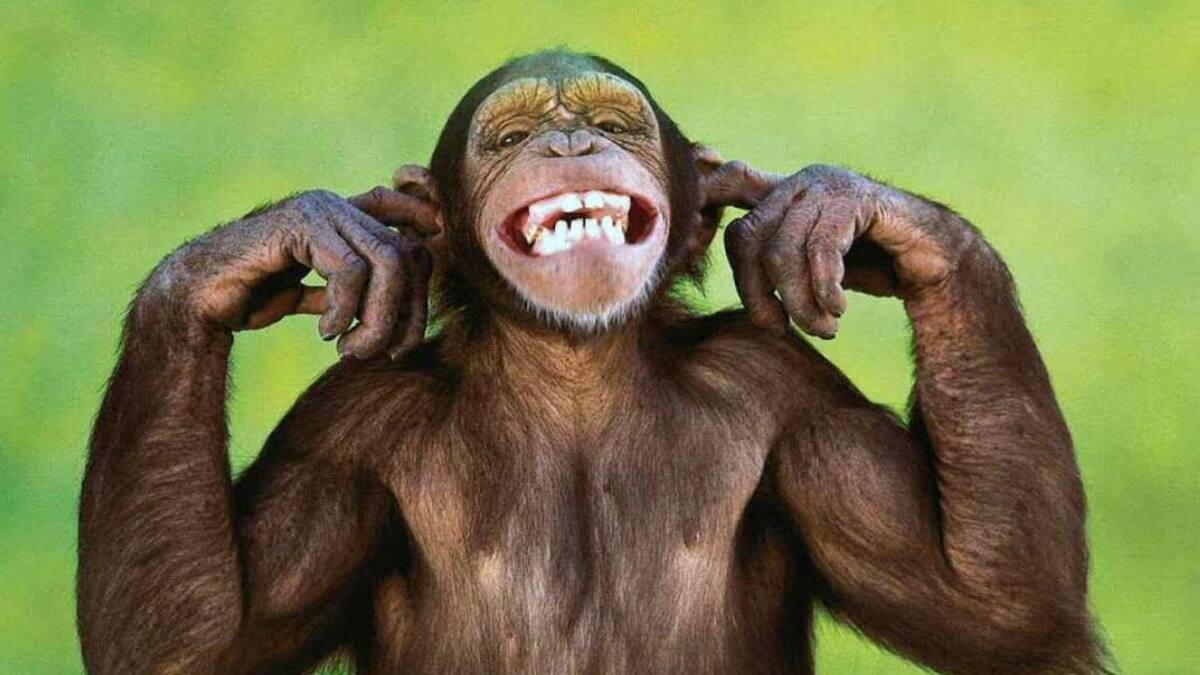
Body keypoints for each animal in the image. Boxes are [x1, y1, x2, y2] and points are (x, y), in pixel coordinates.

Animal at [78, 49, 1107, 674]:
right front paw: (269, 246)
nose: (569, 139)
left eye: (615, 125)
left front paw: (840, 207)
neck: (573, 374)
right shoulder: (345, 431)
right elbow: (192, 642)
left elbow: (993, 607)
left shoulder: (789, 395)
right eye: (508, 136)